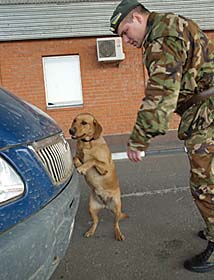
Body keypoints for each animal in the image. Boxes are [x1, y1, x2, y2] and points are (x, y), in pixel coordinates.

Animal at [69, 113, 128, 241]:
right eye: (74, 120)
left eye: (84, 123)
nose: (71, 130)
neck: (87, 143)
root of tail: (105, 205)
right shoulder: (78, 154)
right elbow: (75, 157)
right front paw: (78, 164)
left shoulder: (104, 168)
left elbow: (92, 160)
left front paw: (82, 167)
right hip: (91, 208)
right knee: (96, 222)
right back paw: (90, 231)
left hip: (117, 207)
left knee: (115, 223)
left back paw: (118, 233)